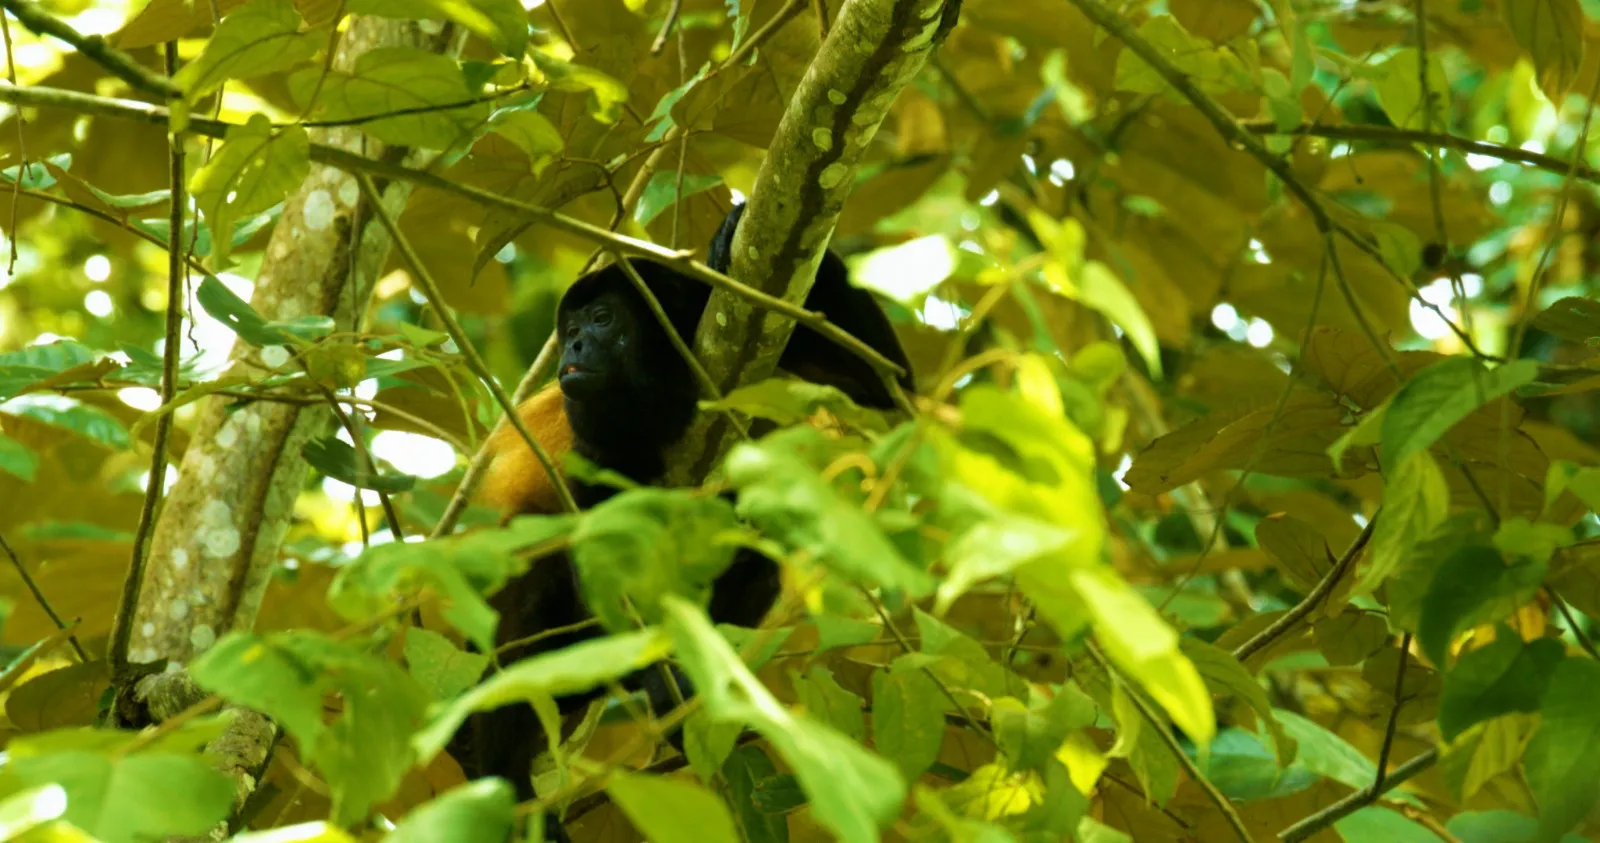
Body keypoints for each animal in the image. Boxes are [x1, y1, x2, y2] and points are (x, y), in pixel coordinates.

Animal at [453, 202, 914, 838]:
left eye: (601, 318)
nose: (573, 343)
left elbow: (884, 385)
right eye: (570, 327)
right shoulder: (592, 431)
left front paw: (731, 233)